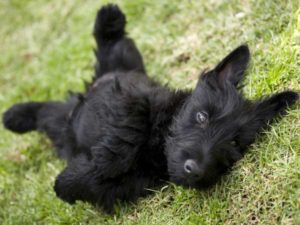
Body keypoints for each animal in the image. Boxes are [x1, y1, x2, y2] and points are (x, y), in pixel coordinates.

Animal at [2, 3, 298, 212]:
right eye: (201, 116)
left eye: (235, 144)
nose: (195, 170)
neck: (157, 148)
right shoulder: (130, 100)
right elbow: (123, 137)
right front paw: (72, 178)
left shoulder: (130, 186)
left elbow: (99, 183)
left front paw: (69, 184)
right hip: (114, 71)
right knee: (111, 45)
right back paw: (109, 17)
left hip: (65, 122)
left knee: (48, 113)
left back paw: (16, 117)